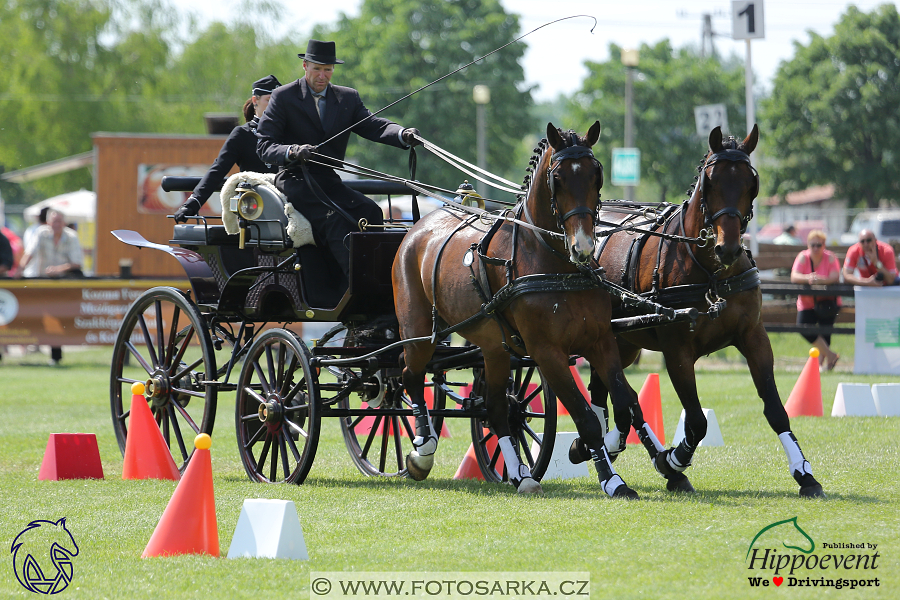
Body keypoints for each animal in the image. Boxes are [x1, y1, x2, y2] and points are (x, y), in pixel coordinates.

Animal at [394, 122, 652, 496]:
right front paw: (611, 479)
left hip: (494, 348)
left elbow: (623, 403)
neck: (557, 265)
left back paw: (520, 474)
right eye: (557, 178)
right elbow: (586, 419)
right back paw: (422, 450)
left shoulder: (601, 340)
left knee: (497, 409)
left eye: (597, 174)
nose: (583, 247)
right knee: (409, 376)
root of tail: (417, 227)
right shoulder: (547, 352)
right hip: (417, 333)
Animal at [572, 125, 828, 496]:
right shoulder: (677, 351)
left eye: (752, 183)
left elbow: (776, 410)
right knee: (620, 397)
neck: (710, 273)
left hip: (623, 342)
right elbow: (696, 420)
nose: (728, 247)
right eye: (710, 181)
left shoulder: (754, 337)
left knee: (615, 394)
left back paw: (613, 446)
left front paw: (804, 473)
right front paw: (673, 459)